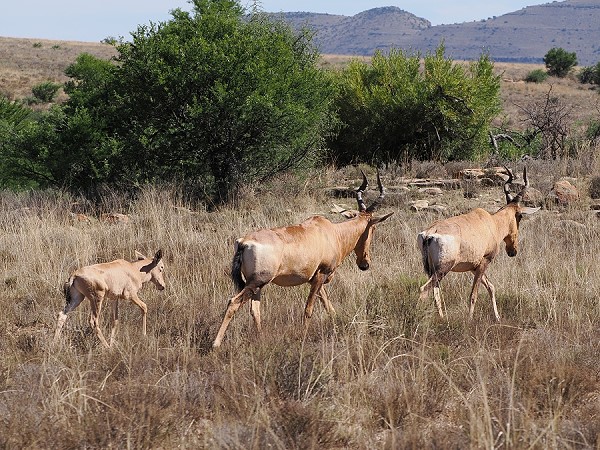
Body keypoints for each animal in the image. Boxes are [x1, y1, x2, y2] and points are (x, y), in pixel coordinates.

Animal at [212, 171, 394, 348]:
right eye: (373, 228)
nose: (365, 264)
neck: (331, 232)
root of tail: (244, 242)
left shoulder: (316, 279)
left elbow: (329, 308)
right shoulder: (321, 275)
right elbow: (309, 309)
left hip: (257, 284)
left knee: (255, 309)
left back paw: (260, 338)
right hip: (257, 281)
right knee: (233, 302)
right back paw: (216, 344)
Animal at [418, 167, 539, 321]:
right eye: (520, 216)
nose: (513, 251)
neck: (491, 222)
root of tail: (429, 234)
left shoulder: (474, 267)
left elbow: (491, 287)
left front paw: (497, 317)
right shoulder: (484, 262)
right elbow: (473, 295)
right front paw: (469, 320)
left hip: (431, 270)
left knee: (435, 292)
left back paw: (442, 318)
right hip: (443, 269)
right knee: (424, 289)